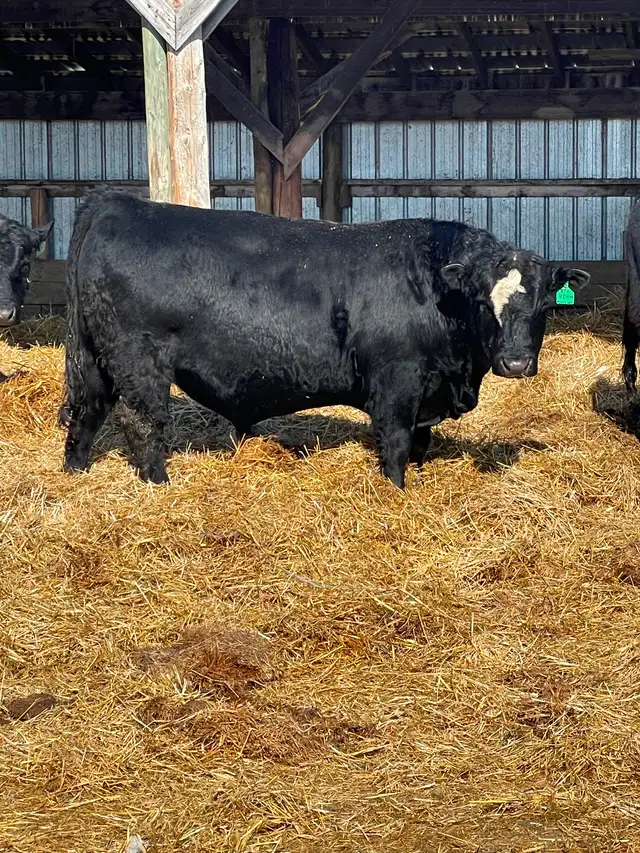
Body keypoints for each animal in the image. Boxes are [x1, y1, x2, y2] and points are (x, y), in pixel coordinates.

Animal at [60, 189, 589, 488]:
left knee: (87, 412)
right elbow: (397, 442)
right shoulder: (397, 381)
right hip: (138, 358)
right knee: (141, 421)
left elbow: (421, 442)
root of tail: (114, 204)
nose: (516, 363)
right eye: (483, 302)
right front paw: (397, 491)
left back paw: (75, 473)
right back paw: (159, 483)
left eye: (545, 306)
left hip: (97, 359)